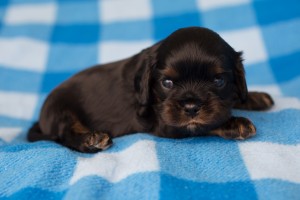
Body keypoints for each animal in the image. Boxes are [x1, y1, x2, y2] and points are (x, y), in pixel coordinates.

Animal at [27, 26, 274, 152]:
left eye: (218, 81)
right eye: (167, 83)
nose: (191, 107)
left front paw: (255, 97)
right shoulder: (166, 124)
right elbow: (205, 125)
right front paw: (236, 123)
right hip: (61, 110)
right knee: (65, 134)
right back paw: (91, 140)